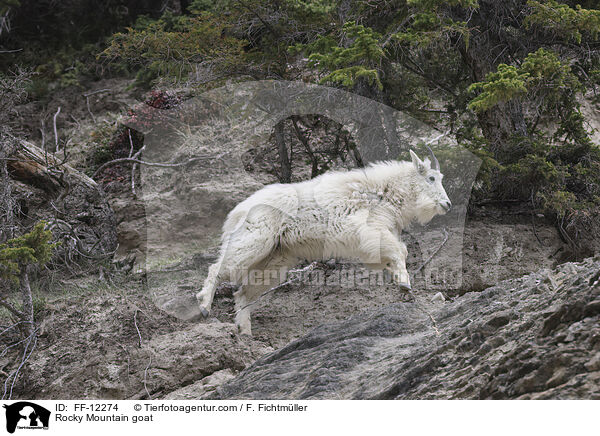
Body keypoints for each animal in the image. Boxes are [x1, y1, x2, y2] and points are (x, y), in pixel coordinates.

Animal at [197, 148, 450, 336]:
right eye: (431, 178)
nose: (447, 204)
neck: (386, 192)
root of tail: (238, 211)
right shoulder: (370, 229)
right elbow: (399, 251)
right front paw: (405, 284)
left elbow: (397, 252)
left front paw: (400, 282)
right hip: (254, 239)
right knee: (217, 268)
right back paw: (204, 307)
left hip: (275, 258)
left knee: (244, 293)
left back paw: (245, 331)